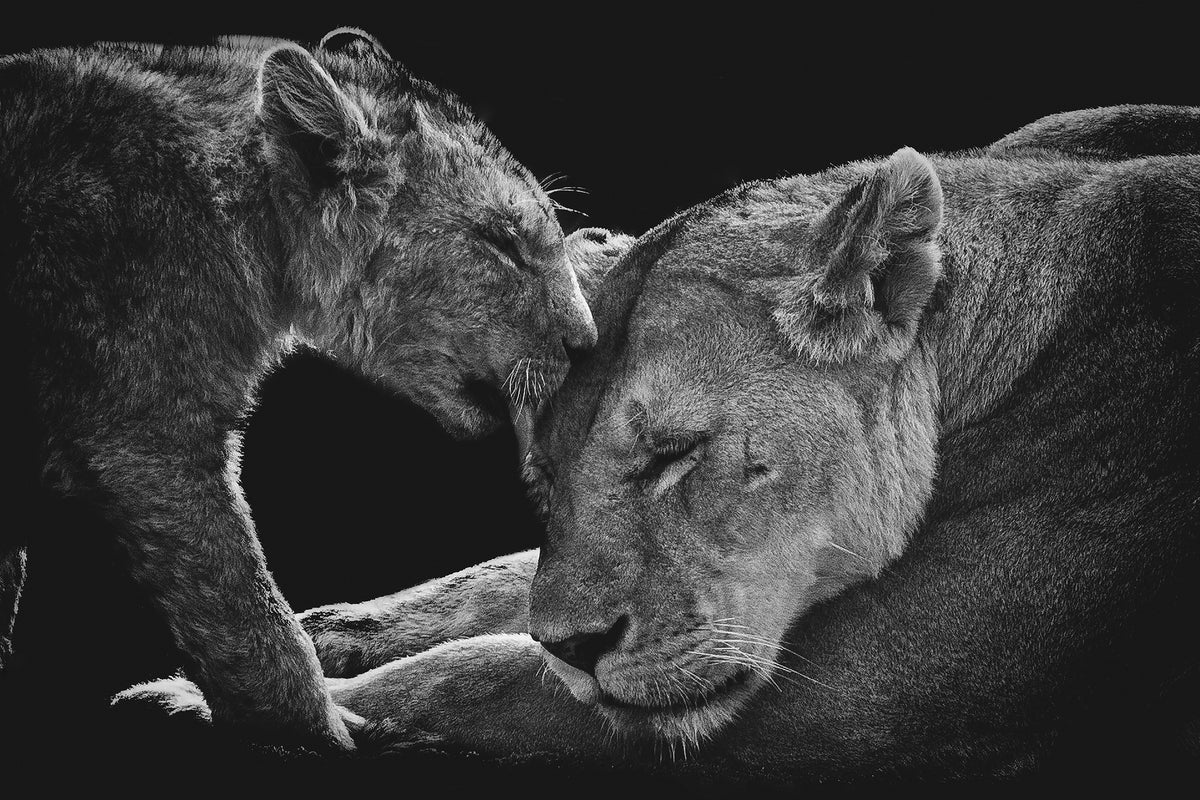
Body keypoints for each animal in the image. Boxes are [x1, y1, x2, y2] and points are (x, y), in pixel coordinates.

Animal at [118, 105, 1200, 784]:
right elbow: (493, 583)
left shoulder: (874, 696)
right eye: (544, 479)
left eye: (677, 454)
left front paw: (218, 703)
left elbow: (475, 676)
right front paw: (327, 631)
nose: (577, 647)